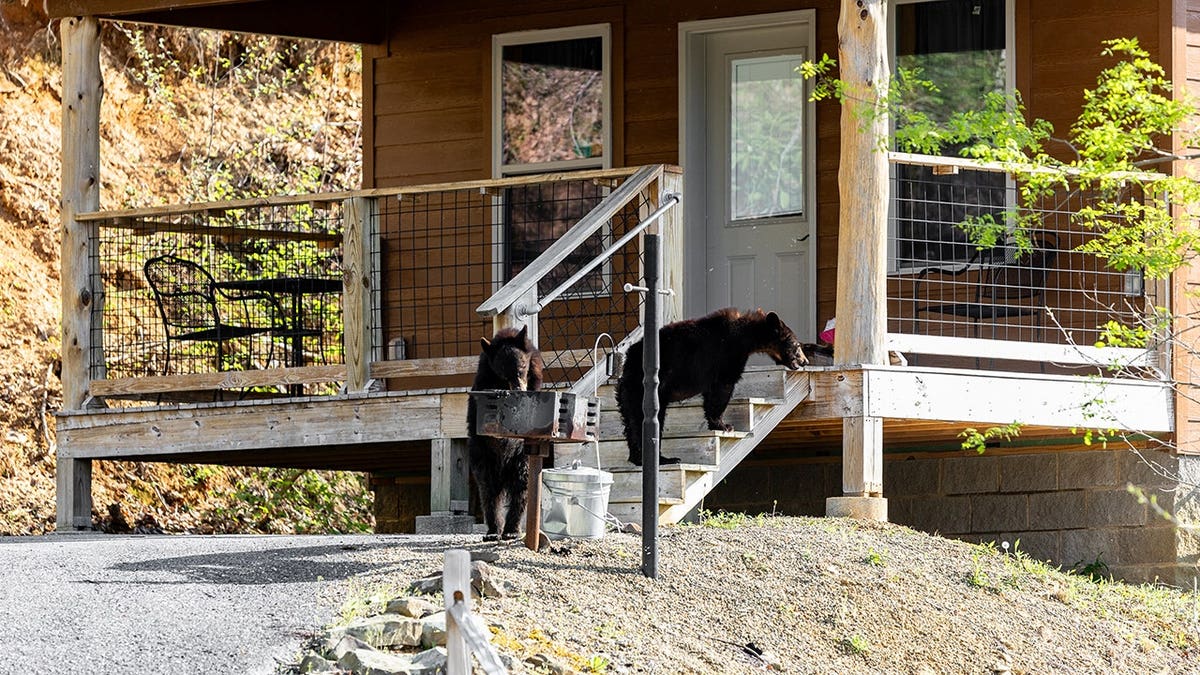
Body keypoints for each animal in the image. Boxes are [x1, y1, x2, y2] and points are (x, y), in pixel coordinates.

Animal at [466, 325, 544, 540]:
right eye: (503, 373)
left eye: (522, 366)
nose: (518, 390)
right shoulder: (483, 384)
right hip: (483, 456)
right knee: (488, 491)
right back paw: (494, 530)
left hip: (522, 459)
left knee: (522, 488)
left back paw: (512, 529)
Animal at [616, 308, 807, 467]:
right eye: (797, 345)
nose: (805, 361)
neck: (745, 336)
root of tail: (627, 364)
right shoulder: (726, 356)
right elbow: (723, 388)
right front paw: (724, 425)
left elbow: (711, 395)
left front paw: (716, 423)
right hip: (645, 390)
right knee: (646, 420)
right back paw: (663, 459)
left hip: (627, 395)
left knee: (631, 423)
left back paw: (637, 458)